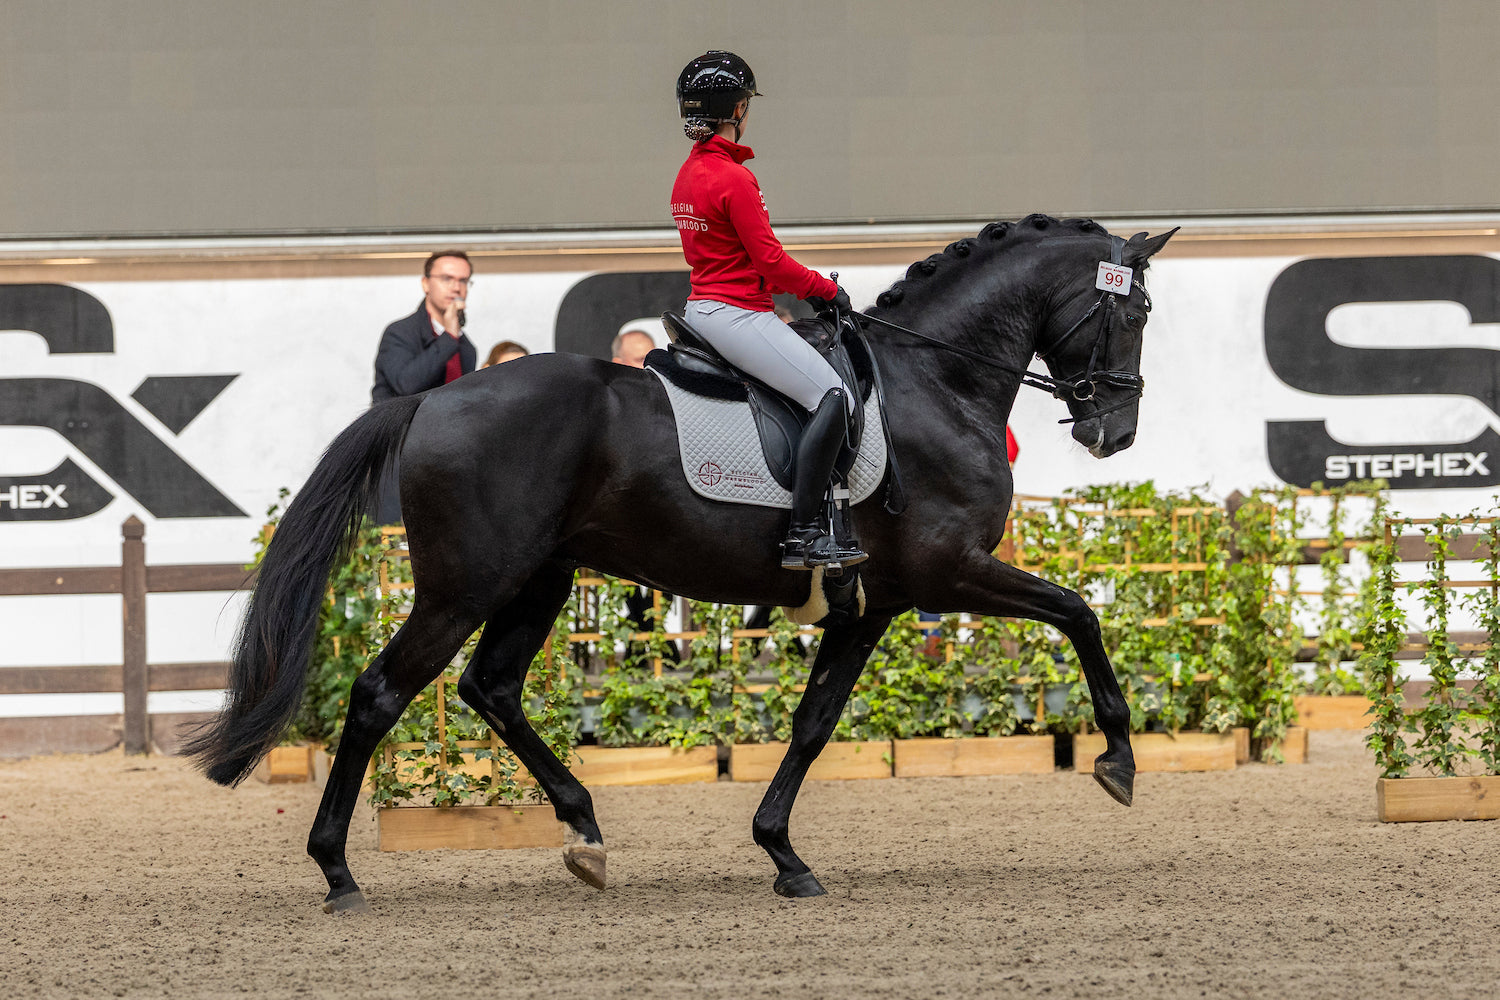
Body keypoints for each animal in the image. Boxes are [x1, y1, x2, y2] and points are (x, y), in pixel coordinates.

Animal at [186, 214, 1174, 911]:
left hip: (538, 578)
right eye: (1133, 311)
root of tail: (432, 402)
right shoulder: (946, 573)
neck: (935, 384)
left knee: (490, 687)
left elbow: (813, 724)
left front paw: (782, 853)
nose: (1115, 432)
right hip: (465, 585)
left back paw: (584, 829)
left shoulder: (873, 604)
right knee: (381, 694)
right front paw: (1119, 760)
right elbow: (1080, 611)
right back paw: (338, 873)